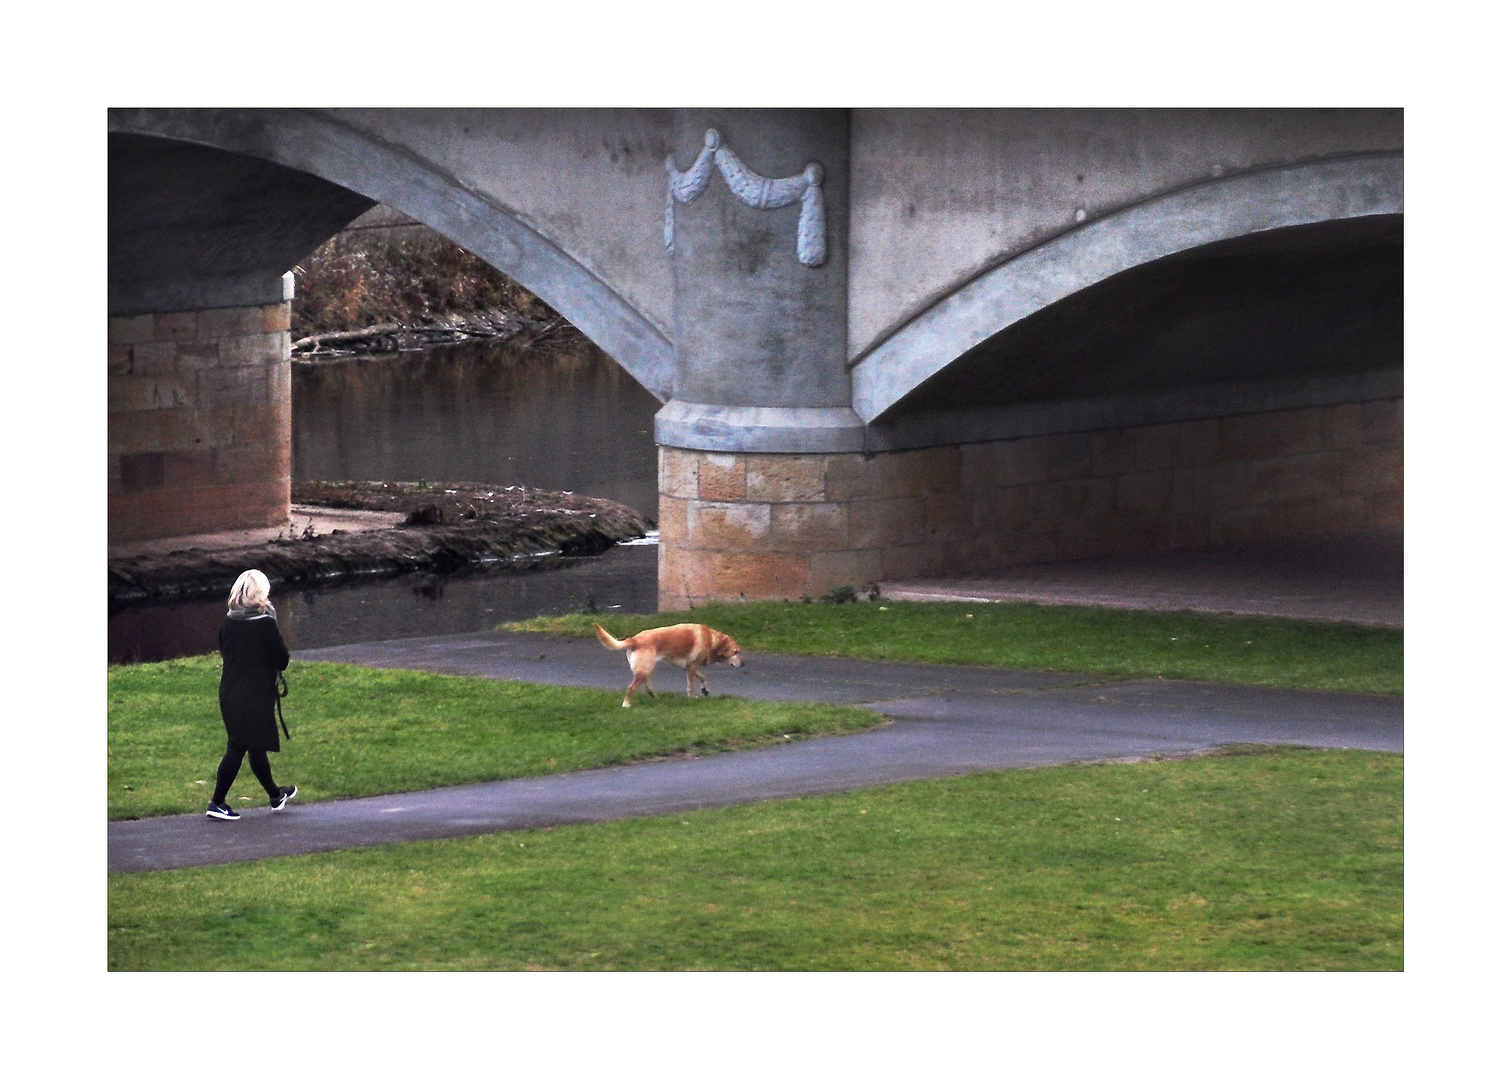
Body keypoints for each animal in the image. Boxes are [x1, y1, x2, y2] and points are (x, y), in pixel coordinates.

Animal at [595, 623, 749, 707]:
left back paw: (656, 699)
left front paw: (705, 689)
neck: (712, 640)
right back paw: (626, 704)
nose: (744, 663)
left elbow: (703, 677)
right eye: (735, 652)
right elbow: (691, 685)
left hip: (647, 670)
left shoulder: (689, 667)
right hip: (644, 671)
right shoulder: (691, 667)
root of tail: (634, 639)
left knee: (649, 688)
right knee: (631, 687)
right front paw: (693, 697)